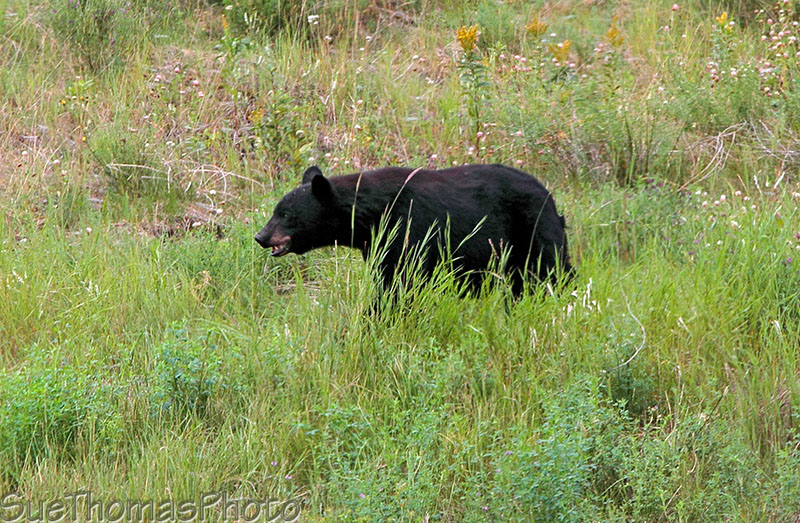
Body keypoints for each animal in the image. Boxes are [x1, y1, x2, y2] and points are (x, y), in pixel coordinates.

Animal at [255, 164, 572, 295]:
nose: (260, 236)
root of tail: (548, 194)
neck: (372, 216)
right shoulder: (380, 246)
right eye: (275, 211)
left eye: (286, 214)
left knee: (551, 270)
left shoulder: (409, 230)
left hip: (534, 229)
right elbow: (387, 278)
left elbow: (404, 282)